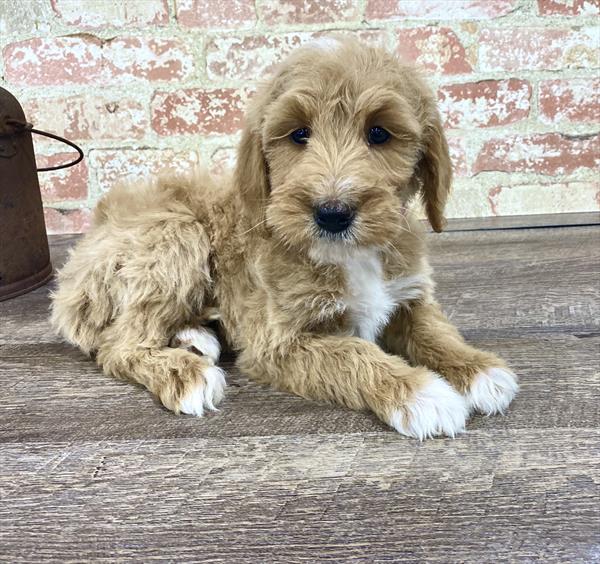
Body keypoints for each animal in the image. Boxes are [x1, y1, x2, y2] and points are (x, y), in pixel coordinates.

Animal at [51, 36, 516, 440]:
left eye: (379, 133)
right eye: (299, 134)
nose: (332, 213)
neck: (348, 255)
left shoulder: (409, 295)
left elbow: (436, 332)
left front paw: (478, 369)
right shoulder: (278, 341)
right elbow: (353, 355)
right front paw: (424, 393)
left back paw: (194, 338)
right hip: (175, 236)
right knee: (118, 344)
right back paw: (185, 372)